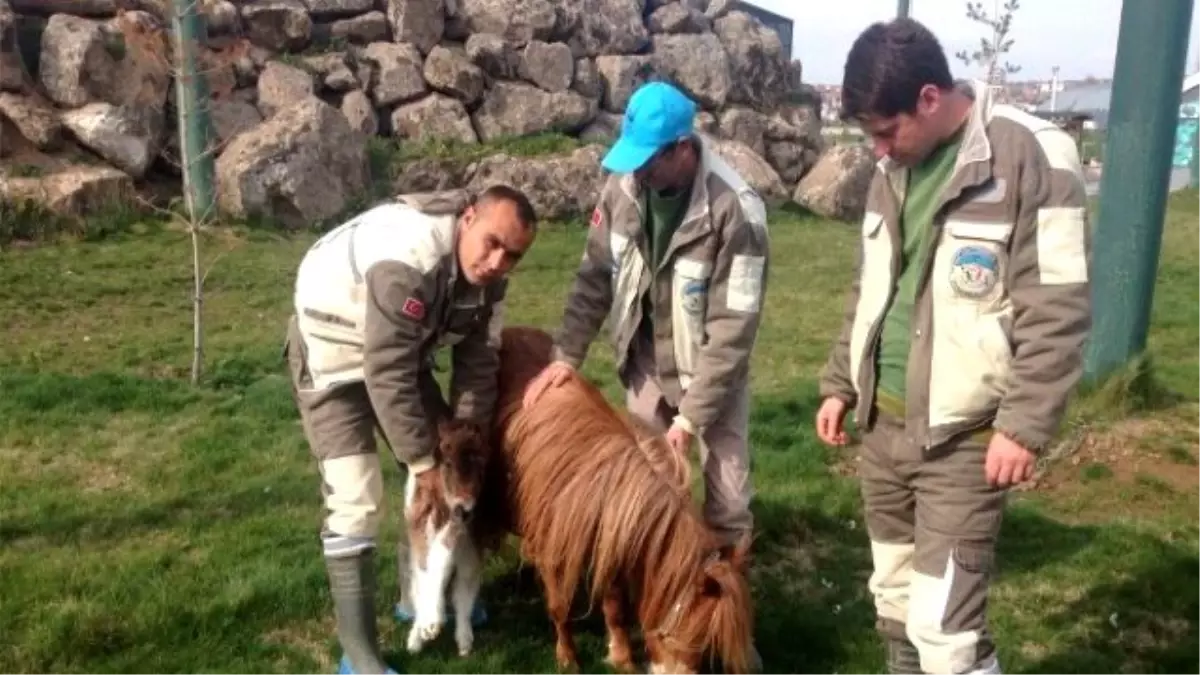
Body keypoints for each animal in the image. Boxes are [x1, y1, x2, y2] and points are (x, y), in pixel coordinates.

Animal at [475, 326, 748, 672]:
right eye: (694, 633)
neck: (601, 486)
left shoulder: (614, 544)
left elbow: (615, 607)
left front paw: (621, 658)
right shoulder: (555, 549)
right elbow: (560, 606)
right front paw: (567, 658)